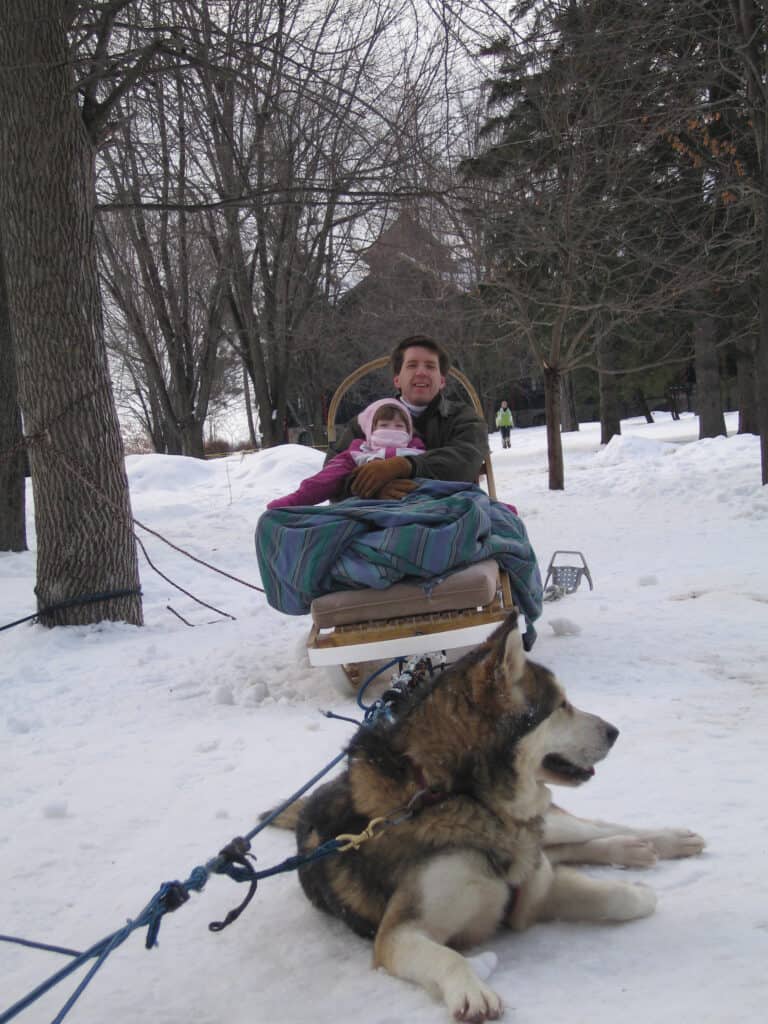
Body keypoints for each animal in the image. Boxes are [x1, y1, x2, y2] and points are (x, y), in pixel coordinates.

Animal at [284, 610, 704, 1019]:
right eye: (561, 706)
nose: (614, 732)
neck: (453, 792)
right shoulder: (400, 931)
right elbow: (448, 956)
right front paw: (472, 992)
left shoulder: (536, 887)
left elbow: (619, 897)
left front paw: (639, 890)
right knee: (574, 843)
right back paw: (634, 849)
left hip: (555, 828)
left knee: (593, 829)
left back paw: (665, 841)